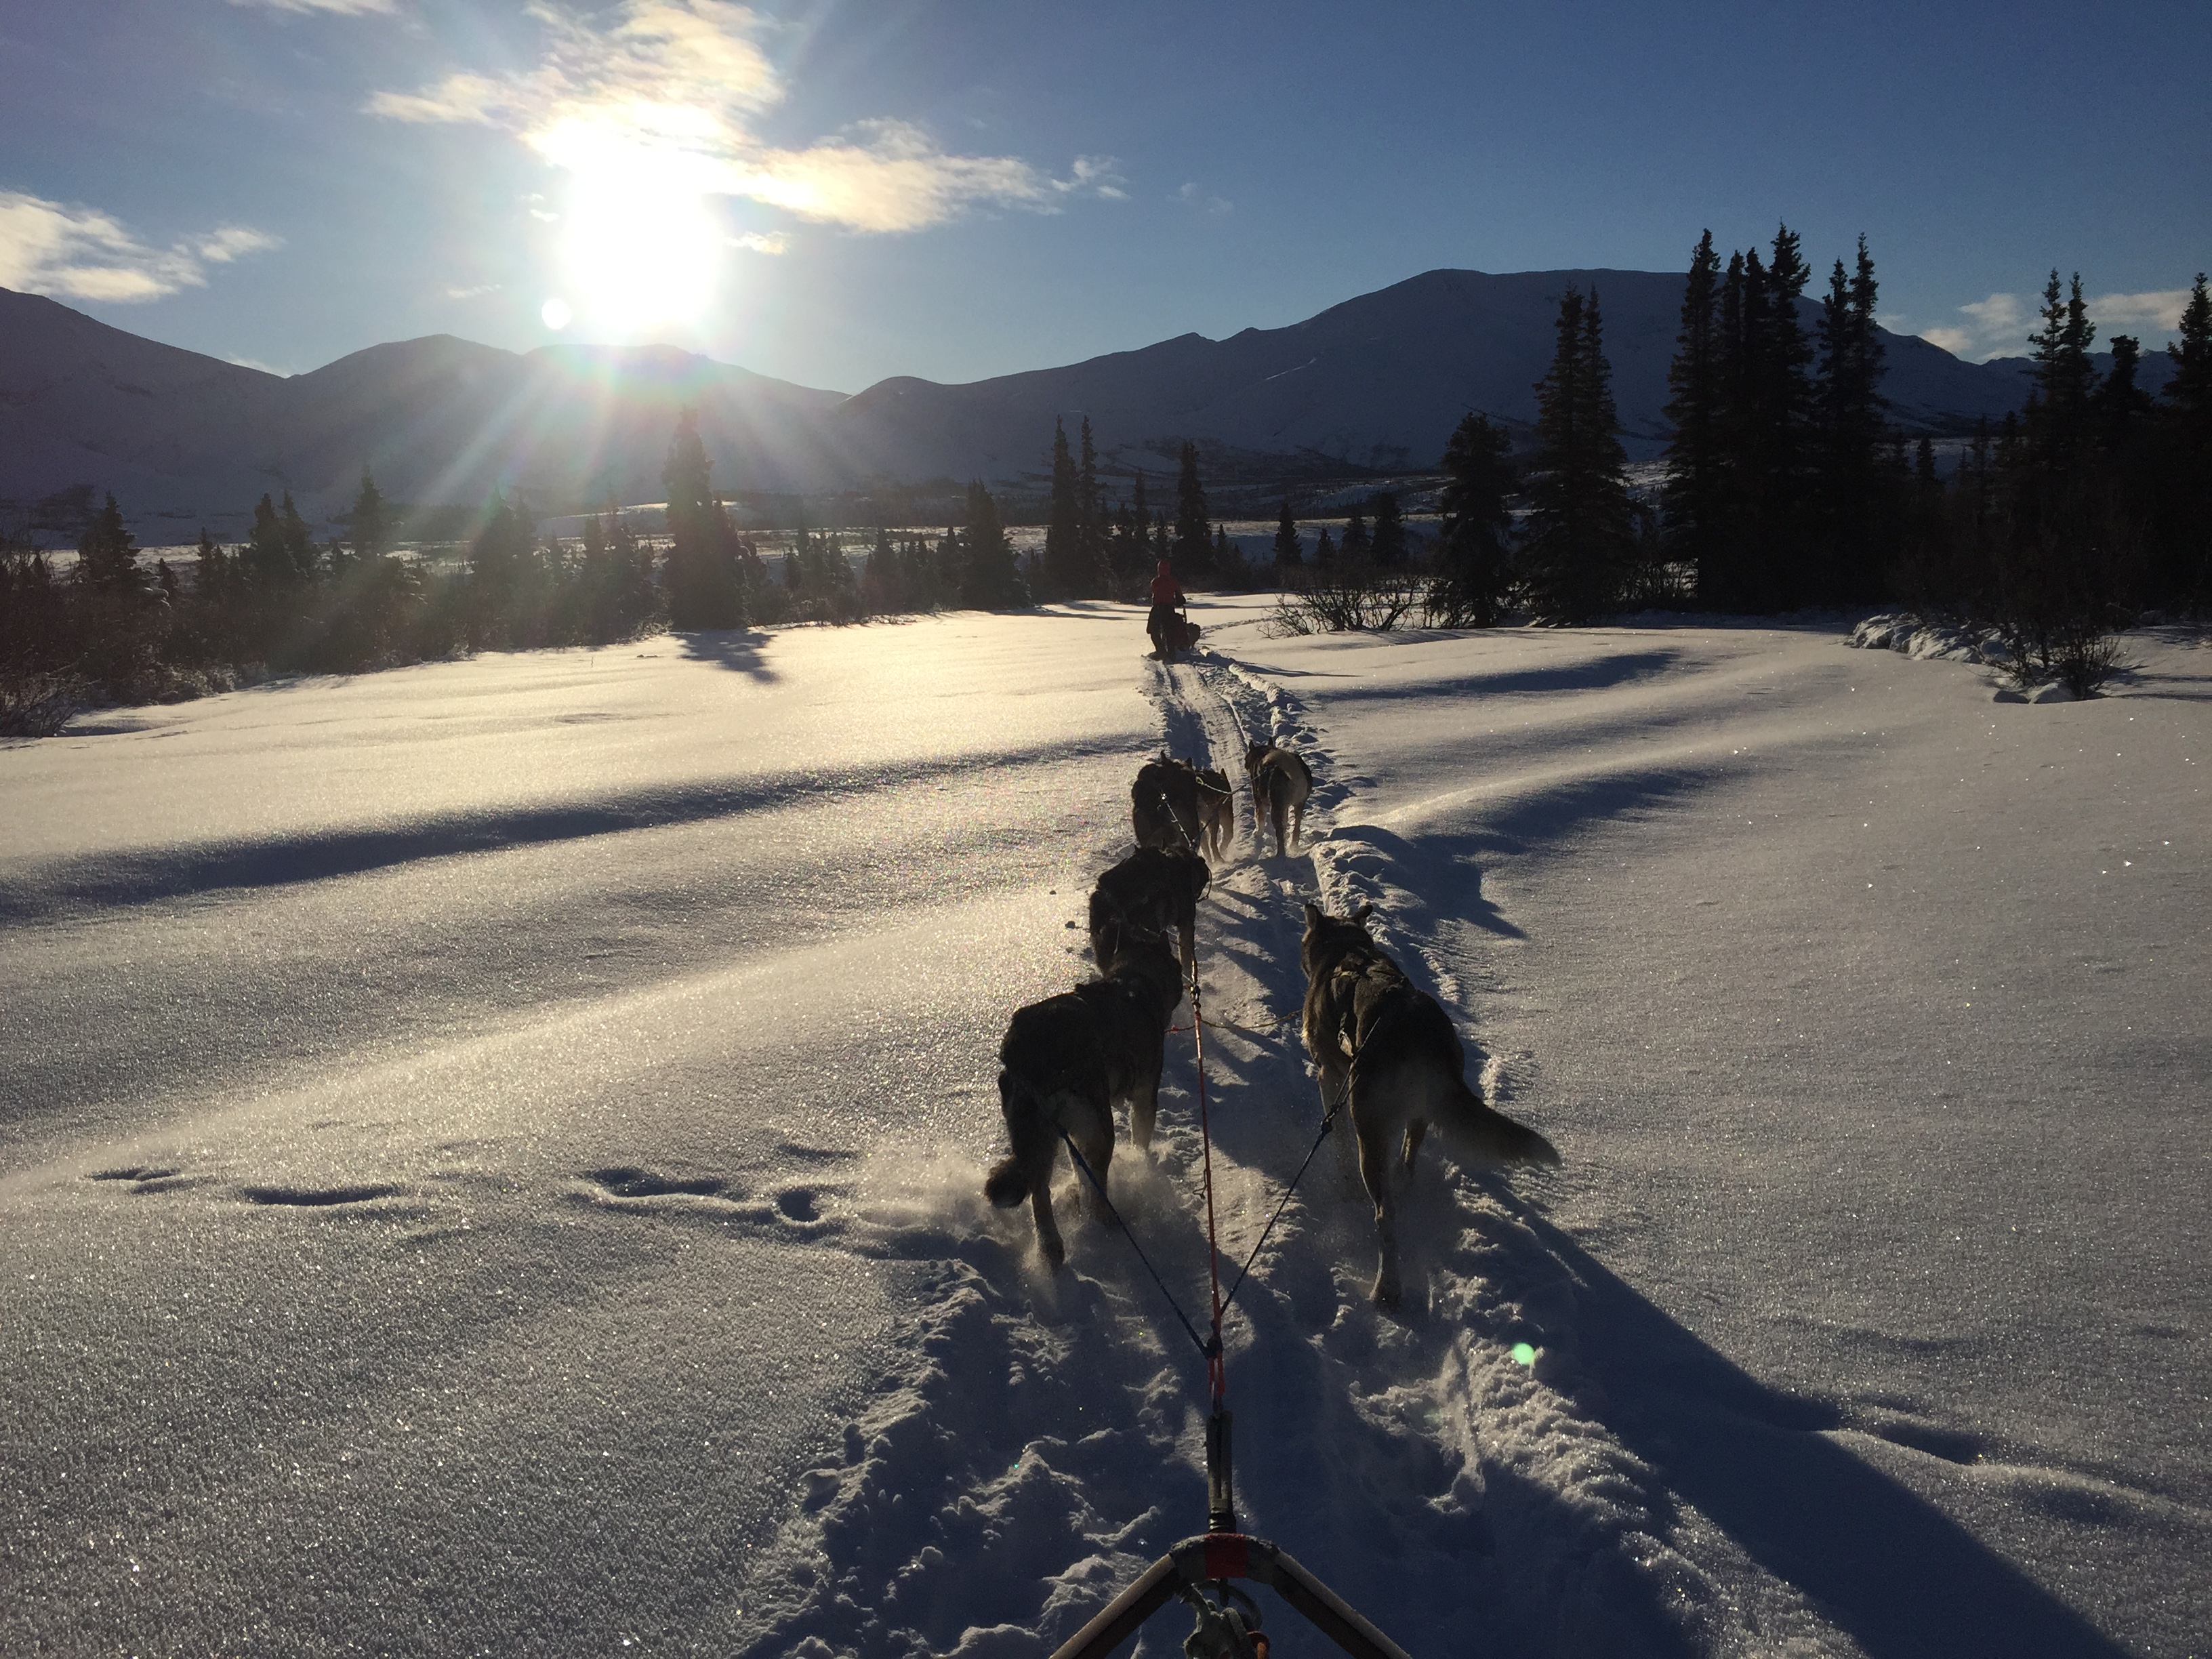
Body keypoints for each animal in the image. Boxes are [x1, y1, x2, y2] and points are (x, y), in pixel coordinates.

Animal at [986, 937, 1194, 1274]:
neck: (1133, 981)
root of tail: (1027, 1050)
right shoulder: (1144, 1097)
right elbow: (1140, 1141)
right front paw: (1140, 1164)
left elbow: (1077, 1169)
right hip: (1097, 1126)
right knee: (1095, 1192)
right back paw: (1108, 1225)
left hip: (1039, 1130)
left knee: (1039, 1188)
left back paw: (1051, 1248)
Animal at [1247, 747, 1309, 862]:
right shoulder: (1285, 807)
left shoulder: (1259, 801)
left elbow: (1259, 818)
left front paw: (1257, 833)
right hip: (1299, 804)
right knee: (1296, 826)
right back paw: (1293, 844)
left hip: (1275, 808)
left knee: (1279, 832)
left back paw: (1280, 855)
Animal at [1292, 902, 1557, 1309]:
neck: (1347, 952)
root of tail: (1418, 1029)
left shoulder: (1330, 1078)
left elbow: (1337, 1140)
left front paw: (1345, 1185)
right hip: (1420, 1113)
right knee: (1408, 1163)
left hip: (1369, 1124)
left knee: (1385, 1215)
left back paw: (1386, 1289)